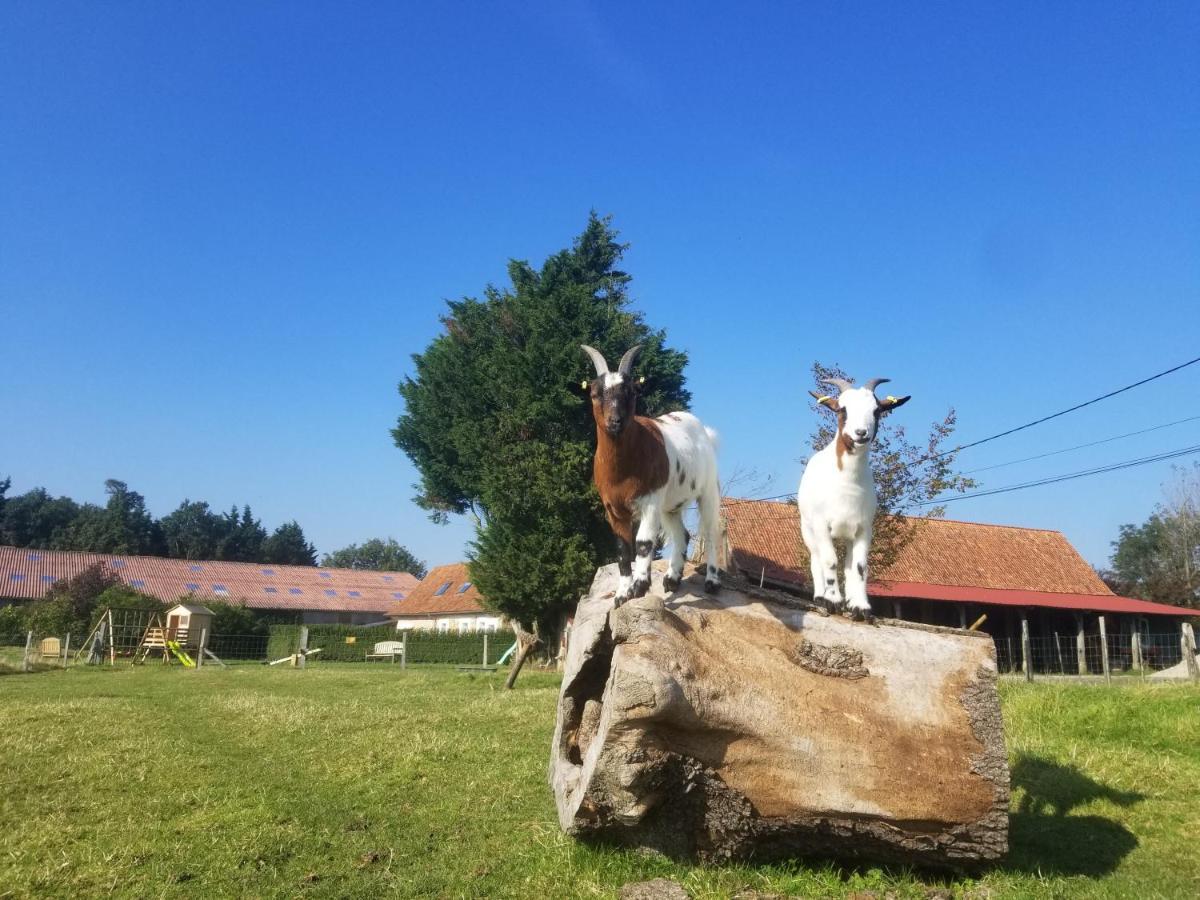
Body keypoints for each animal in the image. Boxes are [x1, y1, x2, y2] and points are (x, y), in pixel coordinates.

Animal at [580, 345, 720, 607]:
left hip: (708, 490)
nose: (615, 421)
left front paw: (640, 586)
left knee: (711, 532)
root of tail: (705, 432)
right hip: (670, 504)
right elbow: (623, 550)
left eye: (632, 392)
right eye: (594, 393)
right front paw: (622, 594)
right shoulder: (613, 509)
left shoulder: (650, 501)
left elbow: (643, 544)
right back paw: (672, 580)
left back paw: (712, 582)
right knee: (682, 534)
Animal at [796, 379, 907, 619]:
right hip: (807, 529)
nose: (860, 433)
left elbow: (859, 566)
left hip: (847, 534)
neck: (847, 482)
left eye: (877, 410)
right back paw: (821, 596)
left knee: (847, 564)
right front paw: (833, 600)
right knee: (815, 558)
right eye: (841, 409)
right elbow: (829, 560)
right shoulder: (821, 524)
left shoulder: (864, 528)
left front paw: (860, 606)